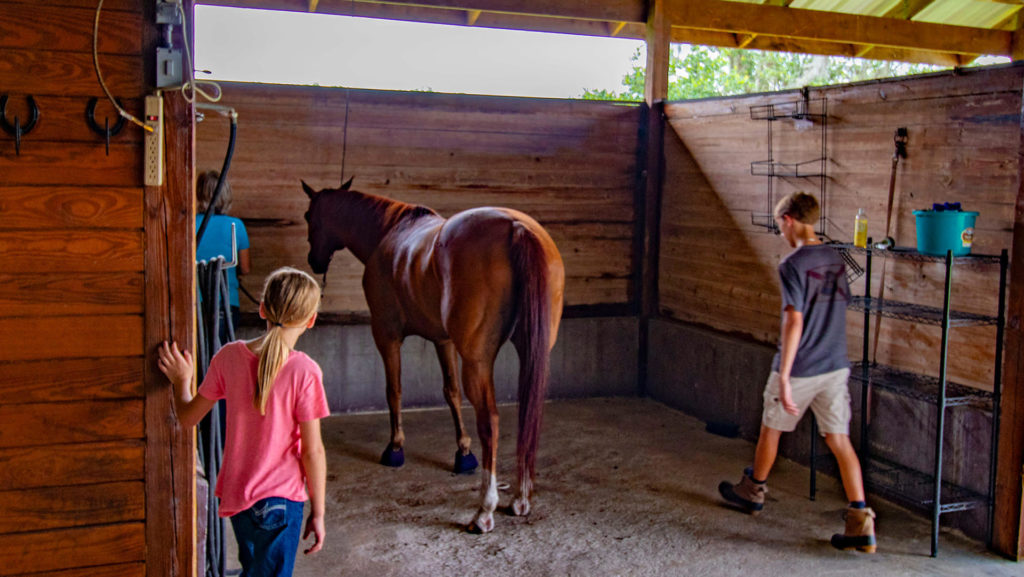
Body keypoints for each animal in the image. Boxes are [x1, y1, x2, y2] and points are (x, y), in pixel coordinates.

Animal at [301, 177, 565, 533]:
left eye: (308, 216)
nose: (314, 261)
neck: (390, 232)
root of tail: (517, 228)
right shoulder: (443, 340)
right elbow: (450, 392)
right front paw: (463, 453)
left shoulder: (386, 335)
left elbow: (394, 390)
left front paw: (395, 448)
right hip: (531, 355)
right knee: (528, 413)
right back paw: (521, 498)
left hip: (477, 361)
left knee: (491, 422)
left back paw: (485, 510)